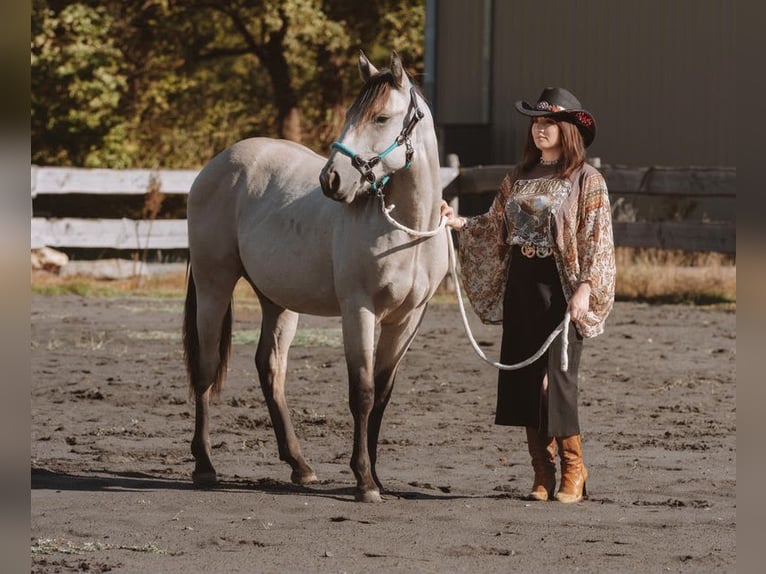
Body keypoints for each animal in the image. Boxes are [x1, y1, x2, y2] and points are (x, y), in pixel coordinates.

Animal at [183, 51, 448, 502]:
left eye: (381, 117)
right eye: (350, 114)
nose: (332, 179)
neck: (407, 232)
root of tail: (219, 163)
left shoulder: (408, 319)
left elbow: (382, 394)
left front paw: (376, 478)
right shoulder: (359, 310)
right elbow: (362, 392)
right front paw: (363, 481)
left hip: (278, 300)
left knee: (270, 368)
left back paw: (300, 465)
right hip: (213, 283)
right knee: (206, 366)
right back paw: (204, 465)